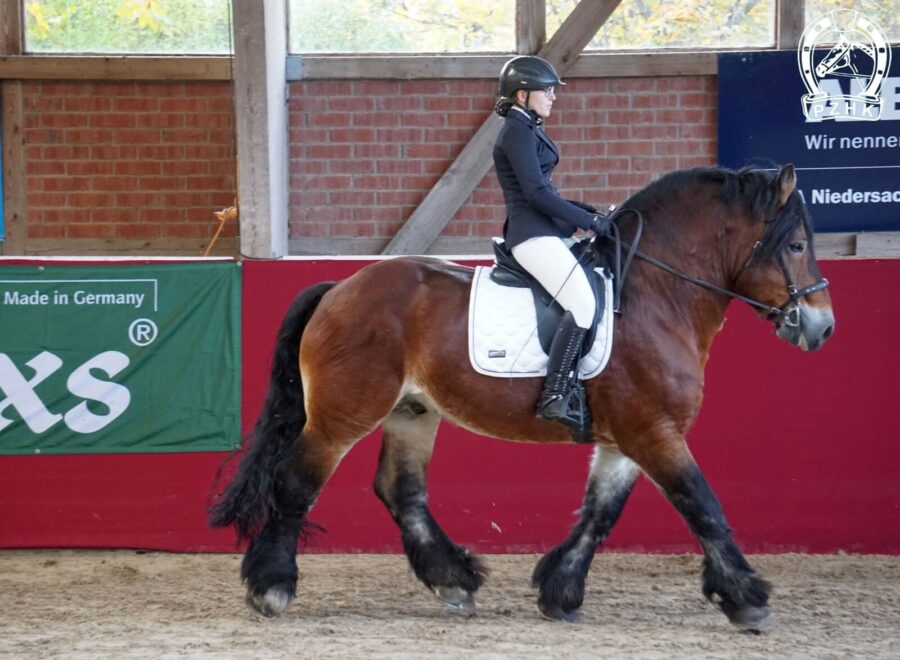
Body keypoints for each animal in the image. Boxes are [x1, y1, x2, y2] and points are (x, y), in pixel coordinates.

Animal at [211, 162, 836, 632]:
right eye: (796, 244)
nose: (822, 328)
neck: (658, 295)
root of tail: (338, 287)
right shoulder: (655, 432)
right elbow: (702, 504)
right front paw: (747, 599)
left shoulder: (627, 438)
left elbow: (601, 514)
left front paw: (560, 593)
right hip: (342, 416)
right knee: (297, 483)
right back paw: (271, 588)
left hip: (412, 413)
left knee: (401, 492)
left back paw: (453, 582)